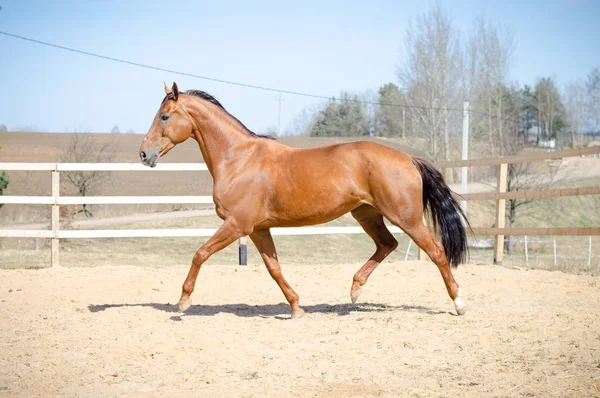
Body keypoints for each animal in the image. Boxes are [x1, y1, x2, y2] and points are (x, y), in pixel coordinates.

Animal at [141, 83, 468, 318]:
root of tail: (409, 159)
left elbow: (200, 253)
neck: (239, 159)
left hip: (406, 217)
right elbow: (274, 268)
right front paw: (296, 307)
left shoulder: (237, 225)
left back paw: (459, 304)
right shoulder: (258, 229)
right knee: (387, 244)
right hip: (367, 214)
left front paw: (183, 301)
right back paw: (355, 290)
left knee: (436, 251)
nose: (144, 154)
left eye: (164, 116)